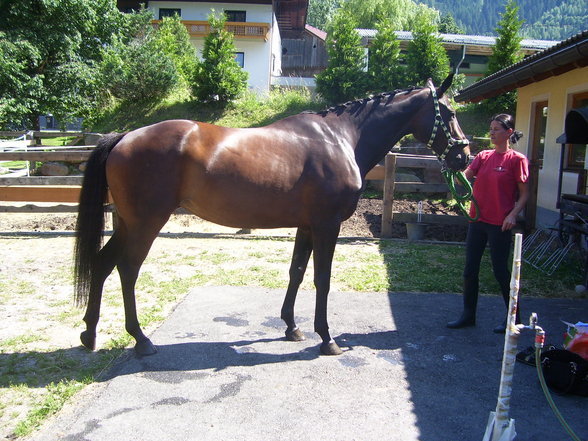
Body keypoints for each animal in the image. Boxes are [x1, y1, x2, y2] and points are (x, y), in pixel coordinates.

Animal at [73, 77, 470, 356]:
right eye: (449, 113)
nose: (463, 157)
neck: (341, 138)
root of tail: (124, 136)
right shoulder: (327, 226)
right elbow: (322, 279)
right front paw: (326, 338)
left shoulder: (307, 226)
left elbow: (297, 272)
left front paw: (292, 327)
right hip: (146, 224)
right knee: (127, 270)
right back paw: (140, 339)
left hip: (128, 223)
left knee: (103, 263)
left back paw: (90, 333)